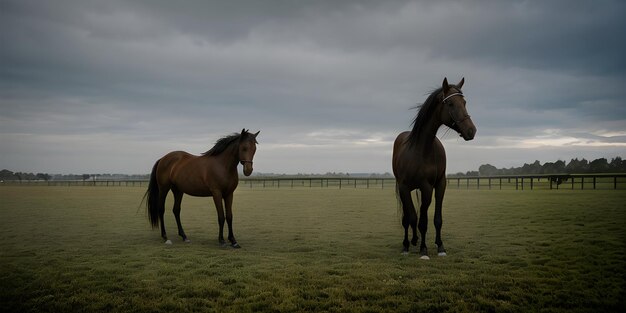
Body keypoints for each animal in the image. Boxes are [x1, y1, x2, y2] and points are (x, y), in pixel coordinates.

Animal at [392, 77, 476, 258]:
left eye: (464, 102)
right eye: (450, 103)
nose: (471, 131)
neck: (422, 149)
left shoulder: (438, 185)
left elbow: (436, 219)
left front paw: (440, 246)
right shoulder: (417, 187)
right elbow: (417, 219)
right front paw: (422, 249)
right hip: (404, 189)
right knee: (408, 218)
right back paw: (408, 243)